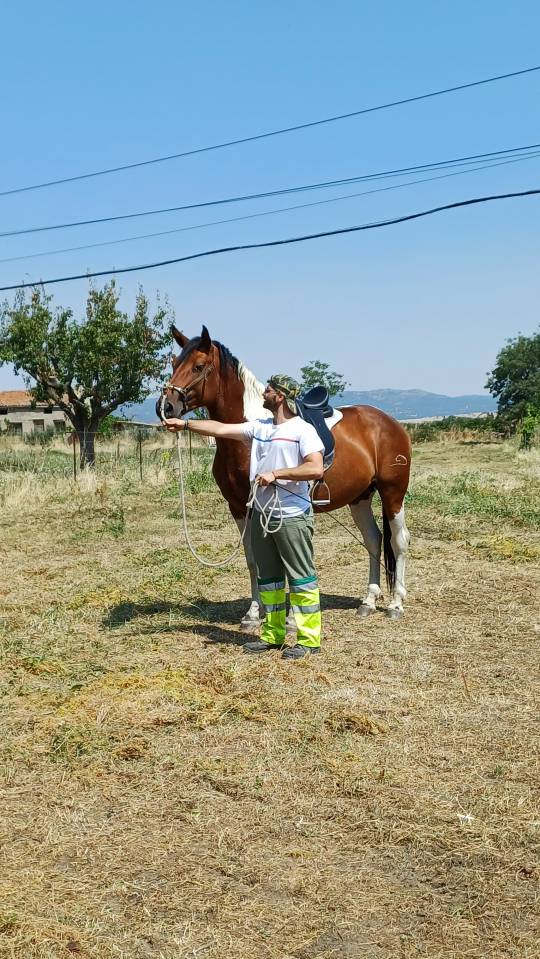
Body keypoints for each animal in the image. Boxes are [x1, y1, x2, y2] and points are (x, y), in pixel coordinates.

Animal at [160, 325, 411, 627]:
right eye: (174, 364)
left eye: (198, 366)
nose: (167, 407)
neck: (248, 437)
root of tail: (389, 423)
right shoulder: (240, 507)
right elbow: (253, 558)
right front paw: (254, 613)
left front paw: (292, 617)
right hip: (360, 497)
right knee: (373, 539)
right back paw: (369, 601)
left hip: (393, 493)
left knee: (399, 540)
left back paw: (396, 604)